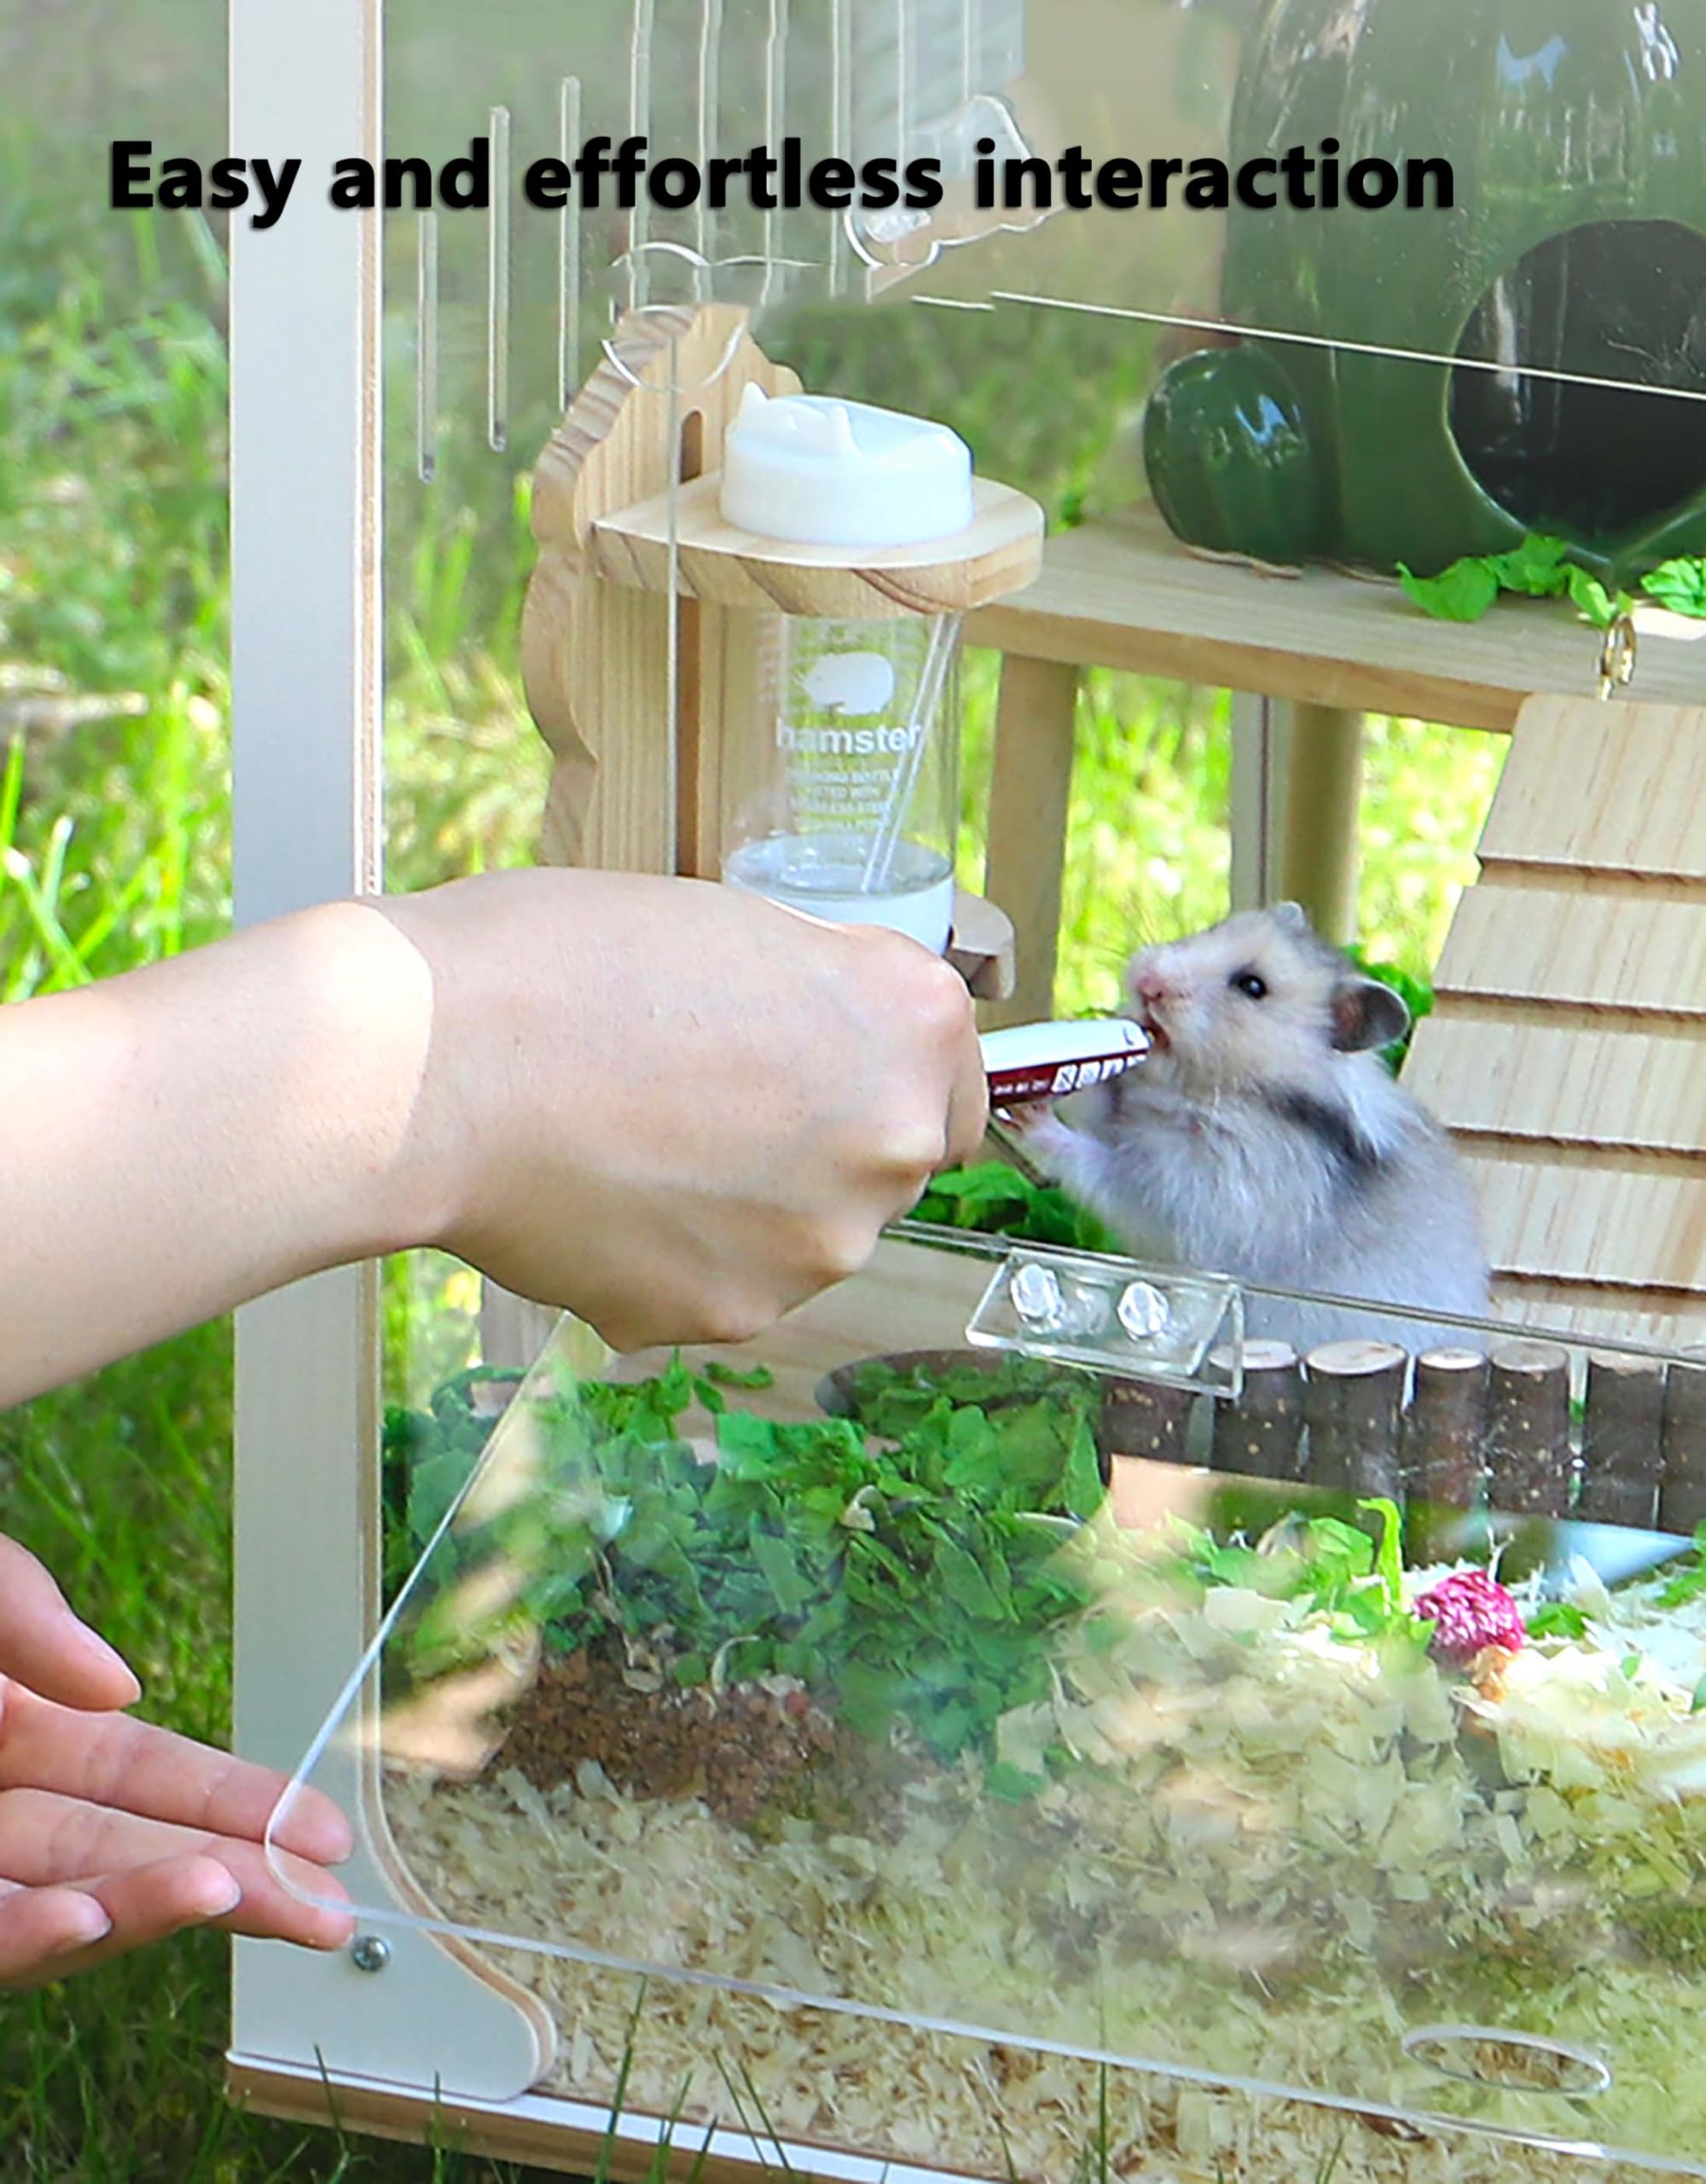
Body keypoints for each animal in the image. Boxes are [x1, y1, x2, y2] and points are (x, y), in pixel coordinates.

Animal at [1010, 903, 1490, 1358]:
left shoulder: (1191, 1196)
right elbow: (1098, 1098)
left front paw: (1032, 1113)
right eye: (1211, 929)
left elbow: (1101, 1168)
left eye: (1253, 987)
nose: (1147, 981)